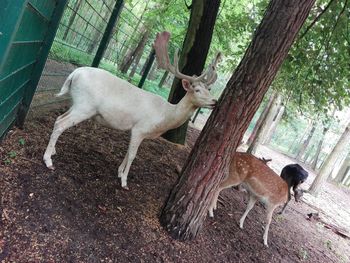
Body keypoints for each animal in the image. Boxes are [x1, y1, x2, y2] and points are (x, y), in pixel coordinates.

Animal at [42, 32, 220, 190]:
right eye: (197, 90)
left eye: (209, 89)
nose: (214, 101)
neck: (164, 117)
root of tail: (74, 73)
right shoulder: (140, 128)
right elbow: (133, 155)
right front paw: (124, 182)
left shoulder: (134, 130)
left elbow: (128, 152)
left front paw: (120, 172)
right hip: (85, 106)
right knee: (61, 123)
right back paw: (48, 160)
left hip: (76, 103)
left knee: (59, 118)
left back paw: (53, 151)